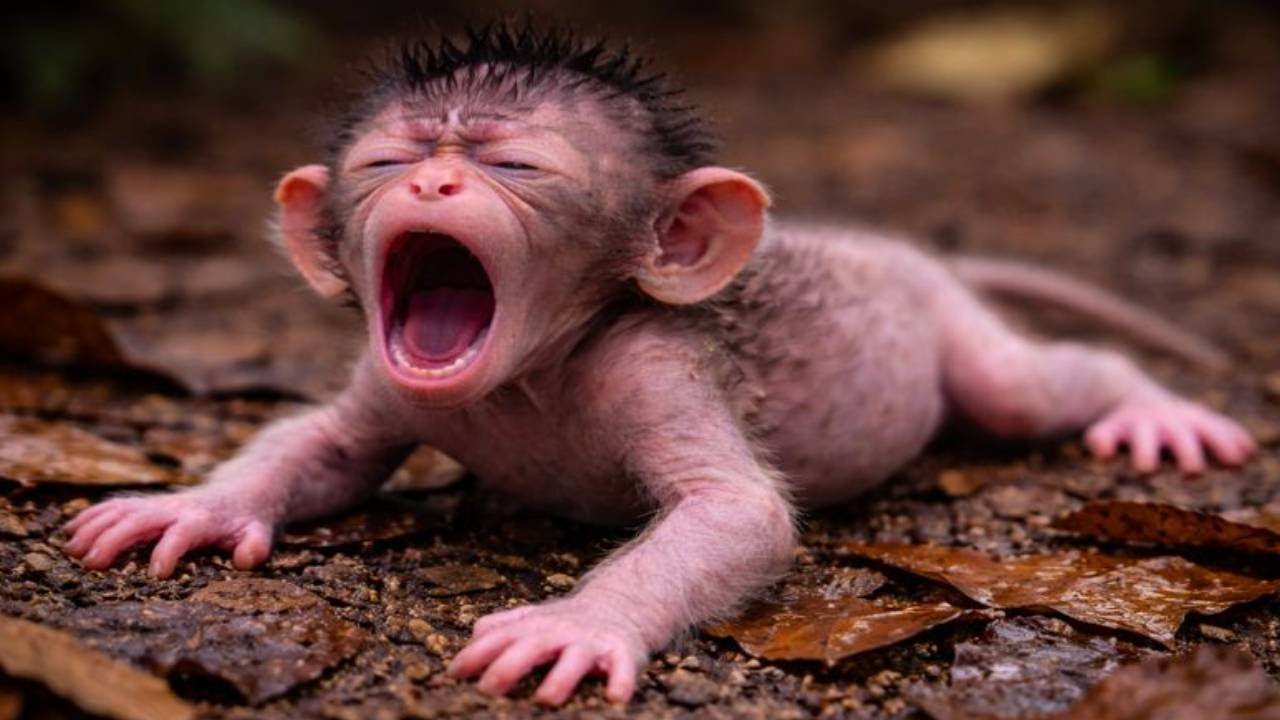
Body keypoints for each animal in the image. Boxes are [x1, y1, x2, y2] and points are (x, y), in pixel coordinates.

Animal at [62, 25, 1256, 706]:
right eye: (389, 161)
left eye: (516, 167)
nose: (435, 186)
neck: (526, 373)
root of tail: (903, 251)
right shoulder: (386, 376)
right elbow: (325, 445)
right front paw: (193, 508)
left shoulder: (650, 363)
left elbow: (738, 513)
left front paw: (578, 624)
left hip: (950, 328)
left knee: (1019, 388)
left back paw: (1150, 410)